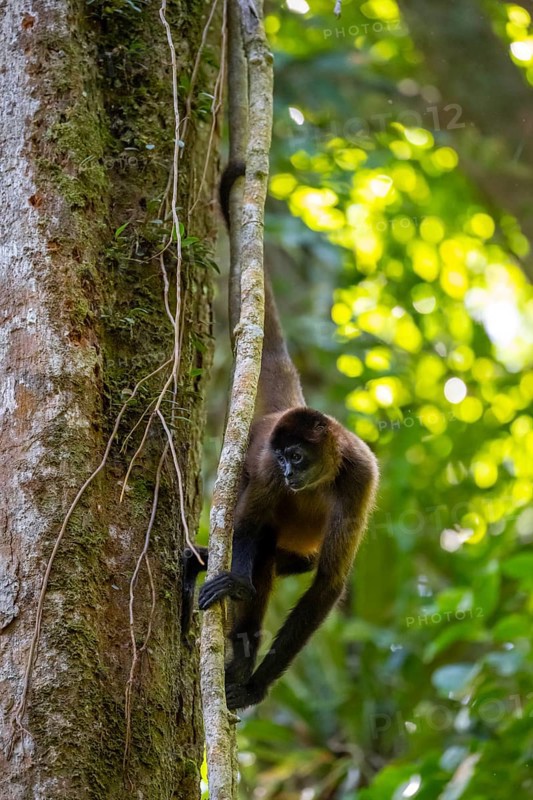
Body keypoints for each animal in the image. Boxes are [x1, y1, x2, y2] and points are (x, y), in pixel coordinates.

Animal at [182, 163, 379, 711]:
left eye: (299, 456)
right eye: (285, 459)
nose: (290, 472)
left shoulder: (361, 473)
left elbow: (328, 584)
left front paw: (257, 685)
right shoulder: (266, 467)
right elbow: (249, 525)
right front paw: (237, 593)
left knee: (293, 560)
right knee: (263, 540)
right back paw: (241, 640)